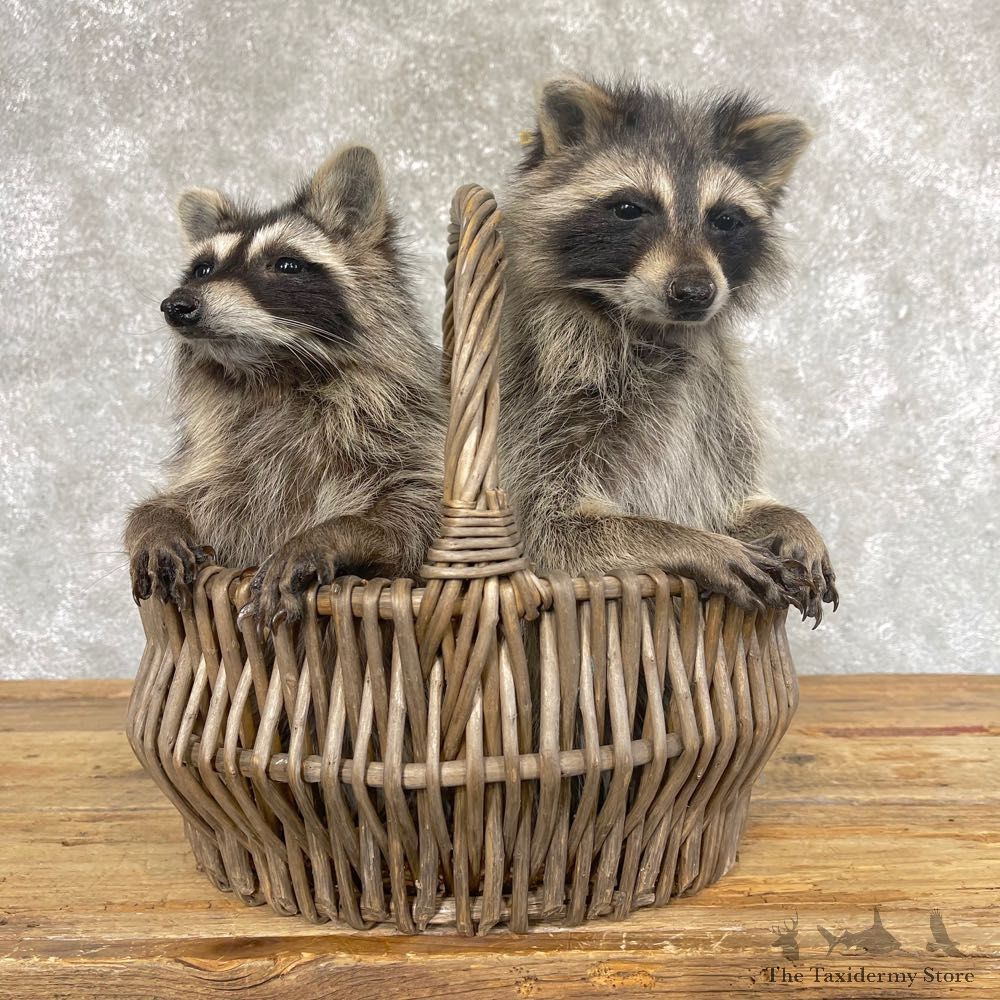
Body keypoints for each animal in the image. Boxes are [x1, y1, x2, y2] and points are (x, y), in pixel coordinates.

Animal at [125, 146, 445, 629]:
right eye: (203, 268)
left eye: (287, 264)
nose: (178, 305)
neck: (272, 375)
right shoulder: (220, 461)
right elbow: (181, 499)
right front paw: (157, 520)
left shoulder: (412, 427)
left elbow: (415, 519)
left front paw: (335, 532)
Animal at [498, 77, 837, 622]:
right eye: (629, 209)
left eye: (724, 219)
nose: (695, 293)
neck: (651, 327)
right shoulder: (540, 397)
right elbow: (550, 527)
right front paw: (687, 540)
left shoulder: (716, 399)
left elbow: (727, 498)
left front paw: (781, 515)